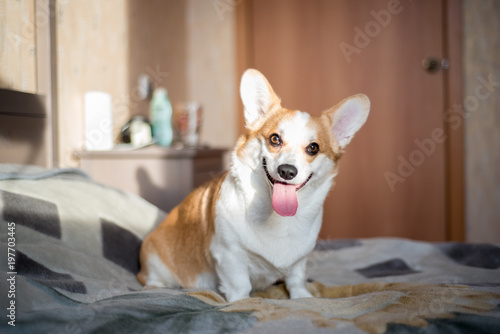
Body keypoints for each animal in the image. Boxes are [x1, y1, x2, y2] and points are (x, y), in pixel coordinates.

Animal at [139, 68, 370, 302]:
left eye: (313, 148)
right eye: (275, 139)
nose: (287, 171)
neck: (277, 219)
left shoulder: (299, 261)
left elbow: (296, 279)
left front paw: (302, 297)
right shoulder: (229, 254)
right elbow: (240, 285)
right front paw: (241, 302)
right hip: (156, 259)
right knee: (153, 280)